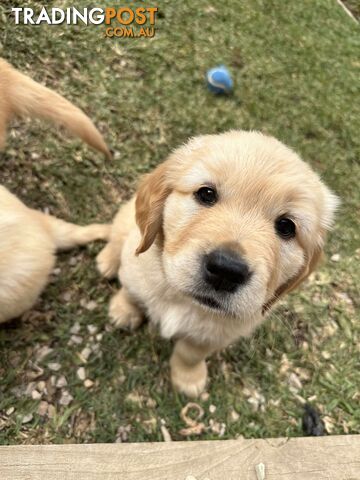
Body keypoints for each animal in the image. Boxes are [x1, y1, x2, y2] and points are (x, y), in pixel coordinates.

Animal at [97, 130, 338, 398]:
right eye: (206, 194)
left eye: (286, 226)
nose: (226, 270)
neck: (184, 300)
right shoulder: (135, 270)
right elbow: (132, 292)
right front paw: (124, 310)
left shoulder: (215, 335)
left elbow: (190, 353)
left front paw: (189, 378)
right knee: (116, 237)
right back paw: (106, 261)